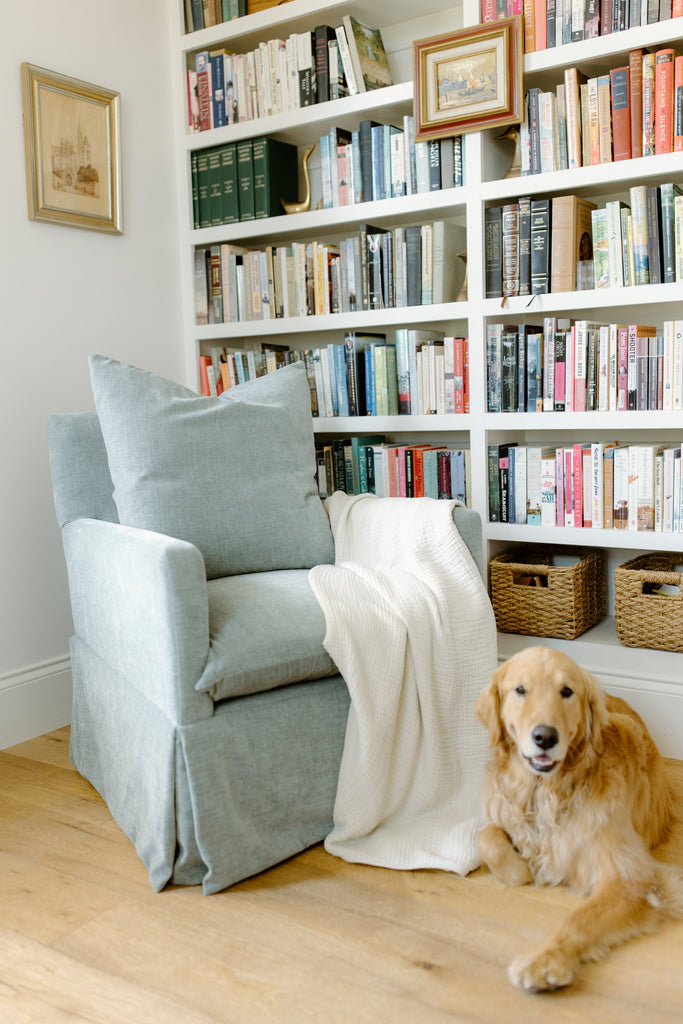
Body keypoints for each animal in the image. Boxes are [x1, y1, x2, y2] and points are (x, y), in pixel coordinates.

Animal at [475, 647, 683, 991]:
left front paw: (544, 961)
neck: (545, 793)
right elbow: (486, 835)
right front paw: (518, 870)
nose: (545, 737)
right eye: (520, 689)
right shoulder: (499, 808)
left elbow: (580, 917)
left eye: (567, 691)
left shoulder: (633, 879)